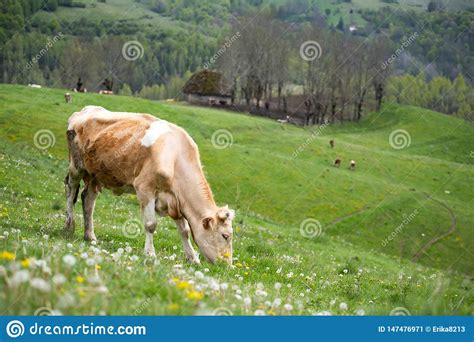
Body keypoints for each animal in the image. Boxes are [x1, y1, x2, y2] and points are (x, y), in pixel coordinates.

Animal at [64, 106, 234, 264]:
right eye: (225, 235)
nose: (227, 265)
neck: (176, 157)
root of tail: (86, 110)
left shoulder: (176, 201)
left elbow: (184, 230)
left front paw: (192, 258)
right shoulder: (145, 188)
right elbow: (151, 224)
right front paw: (150, 253)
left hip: (95, 175)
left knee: (88, 200)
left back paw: (90, 236)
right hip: (76, 166)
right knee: (71, 191)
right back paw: (69, 226)